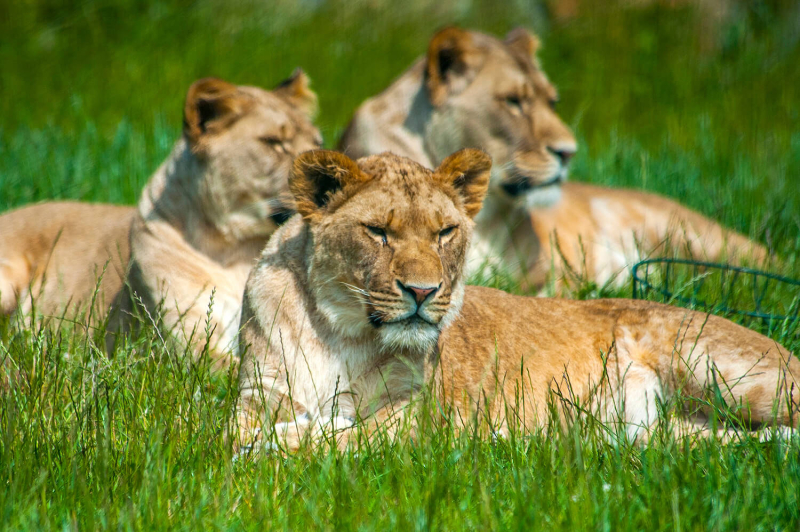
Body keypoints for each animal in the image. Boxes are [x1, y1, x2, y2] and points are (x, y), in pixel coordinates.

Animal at [234, 149, 797, 453]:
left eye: (444, 233)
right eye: (377, 231)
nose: (423, 292)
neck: (342, 332)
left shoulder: (420, 414)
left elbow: (349, 437)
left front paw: (285, 441)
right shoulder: (256, 395)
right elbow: (230, 431)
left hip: (721, 369)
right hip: (665, 435)